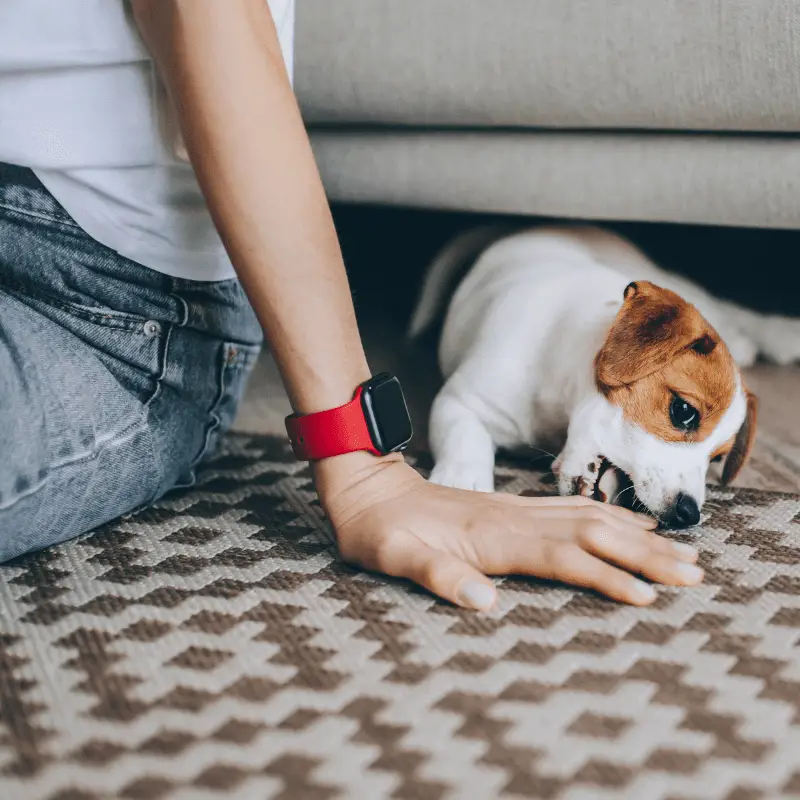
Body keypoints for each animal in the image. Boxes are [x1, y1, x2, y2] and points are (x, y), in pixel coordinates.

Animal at [406, 222, 792, 528]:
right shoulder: (461, 400)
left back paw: (773, 336)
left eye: (716, 459)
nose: (688, 514)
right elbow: (464, 438)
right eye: (683, 411)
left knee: (727, 310)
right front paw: (461, 482)